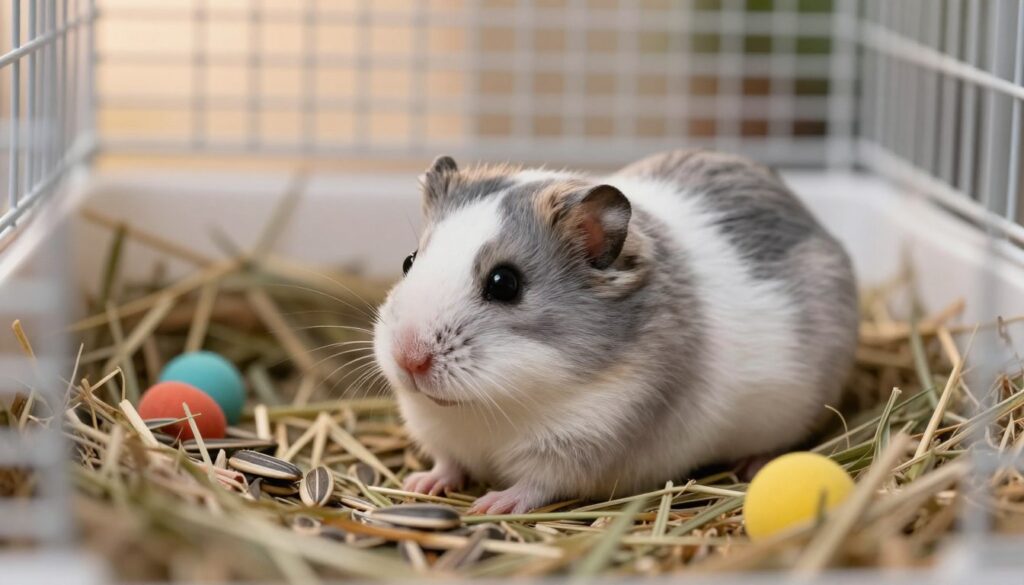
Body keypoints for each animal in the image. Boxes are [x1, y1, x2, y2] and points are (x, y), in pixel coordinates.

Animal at [373, 149, 858, 514]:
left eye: (504, 283)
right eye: (409, 261)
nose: (408, 359)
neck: (489, 408)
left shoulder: (586, 441)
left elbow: (536, 484)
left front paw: (490, 505)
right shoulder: (438, 433)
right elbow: (448, 463)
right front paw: (419, 483)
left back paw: (752, 464)